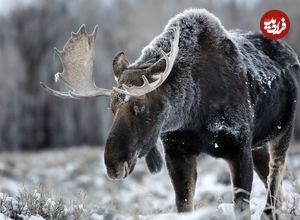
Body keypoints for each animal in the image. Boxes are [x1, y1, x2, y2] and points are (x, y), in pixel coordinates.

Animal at [40, 8, 300, 218]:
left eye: (141, 106)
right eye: (111, 108)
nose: (113, 164)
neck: (194, 116)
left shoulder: (238, 148)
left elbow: (242, 207)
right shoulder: (177, 152)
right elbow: (184, 205)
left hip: (283, 131)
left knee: (276, 177)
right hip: (258, 144)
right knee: (273, 185)